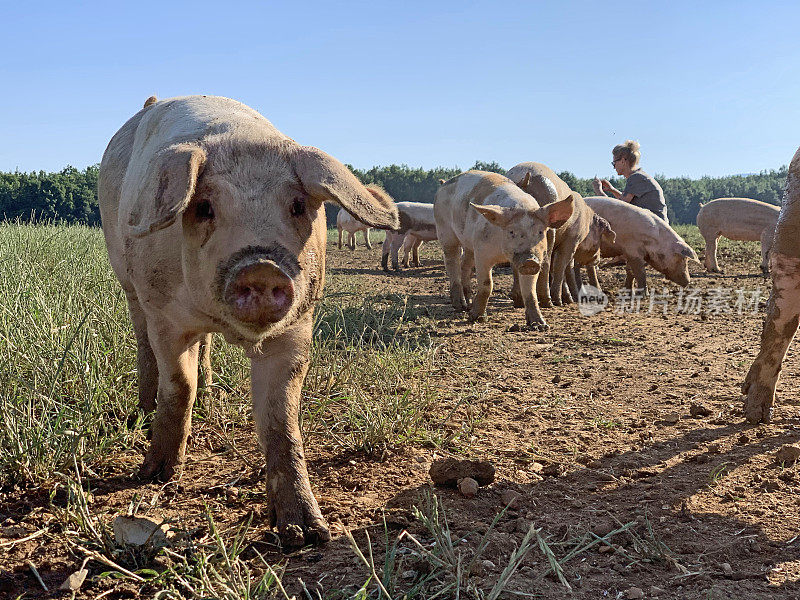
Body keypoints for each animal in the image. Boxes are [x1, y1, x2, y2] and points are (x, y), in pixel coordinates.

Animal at [98, 95, 398, 548]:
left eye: (297, 206)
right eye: (204, 207)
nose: (261, 267)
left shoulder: (297, 326)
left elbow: (281, 419)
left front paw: (307, 533)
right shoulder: (165, 316)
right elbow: (178, 386)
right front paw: (155, 476)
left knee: (204, 351)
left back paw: (209, 396)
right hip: (129, 285)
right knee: (144, 344)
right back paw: (144, 413)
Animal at [434, 169, 572, 328]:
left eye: (540, 232)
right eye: (511, 232)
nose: (530, 260)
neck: (503, 253)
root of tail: (442, 186)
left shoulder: (536, 259)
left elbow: (530, 291)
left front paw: (540, 325)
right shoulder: (482, 251)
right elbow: (487, 284)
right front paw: (476, 318)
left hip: (469, 244)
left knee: (465, 264)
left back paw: (467, 303)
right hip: (445, 231)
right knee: (452, 261)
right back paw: (460, 306)